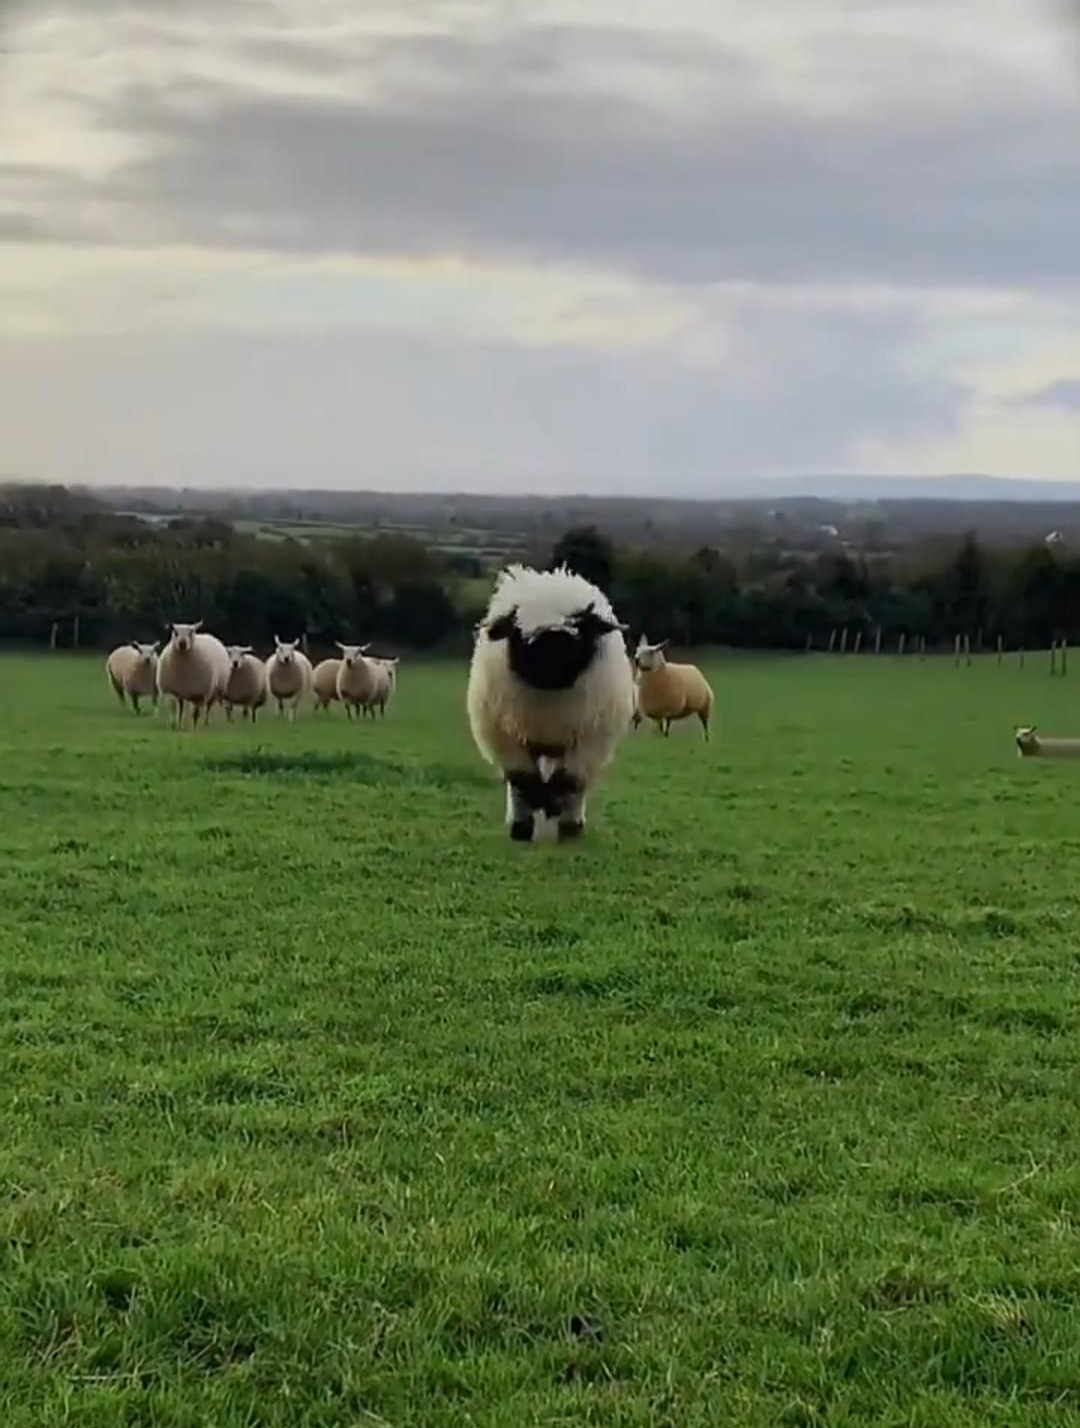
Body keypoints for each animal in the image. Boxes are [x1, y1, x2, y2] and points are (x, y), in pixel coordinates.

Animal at [462, 562, 631, 839]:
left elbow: (570, 782)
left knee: (574, 783)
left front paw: (559, 812)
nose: (551, 654)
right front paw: (526, 820)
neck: (550, 694)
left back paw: (569, 820)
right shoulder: (506, 738)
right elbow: (522, 780)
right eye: (517, 630)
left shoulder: (588, 741)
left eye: (579, 627)